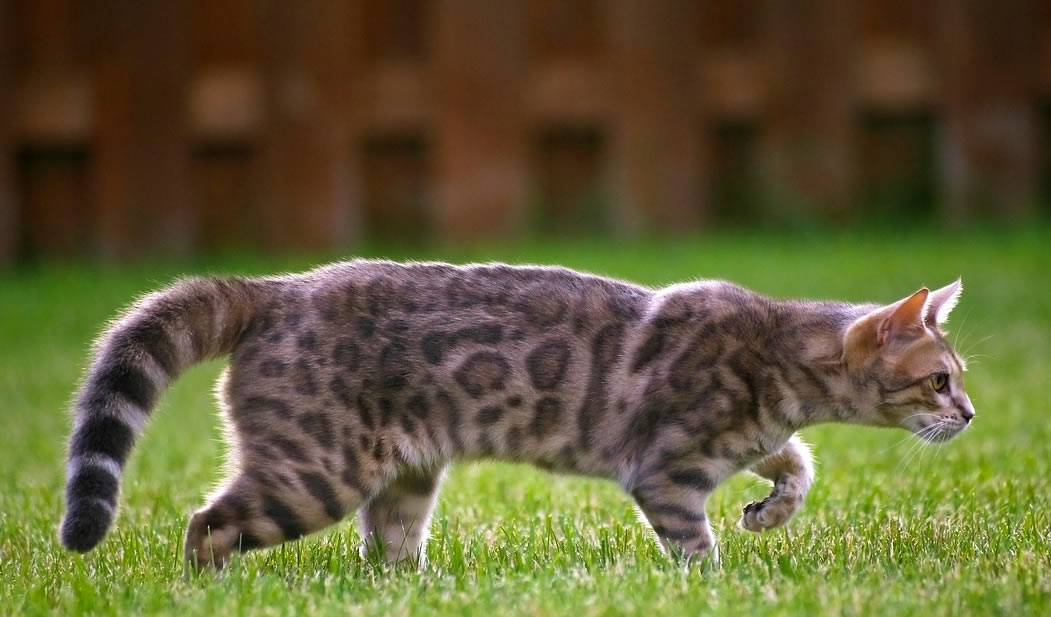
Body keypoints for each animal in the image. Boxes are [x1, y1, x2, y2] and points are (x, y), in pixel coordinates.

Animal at [59, 260, 975, 571]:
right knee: (206, 524)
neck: (775, 347)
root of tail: (275, 288)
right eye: (936, 381)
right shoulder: (666, 471)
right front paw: (719, 582)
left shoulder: (754, 439)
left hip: (402, 473)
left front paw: (769, 509)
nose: (968, 412)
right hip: (312, 471)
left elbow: (794, 462)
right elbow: (696, 545)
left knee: (386, 549)